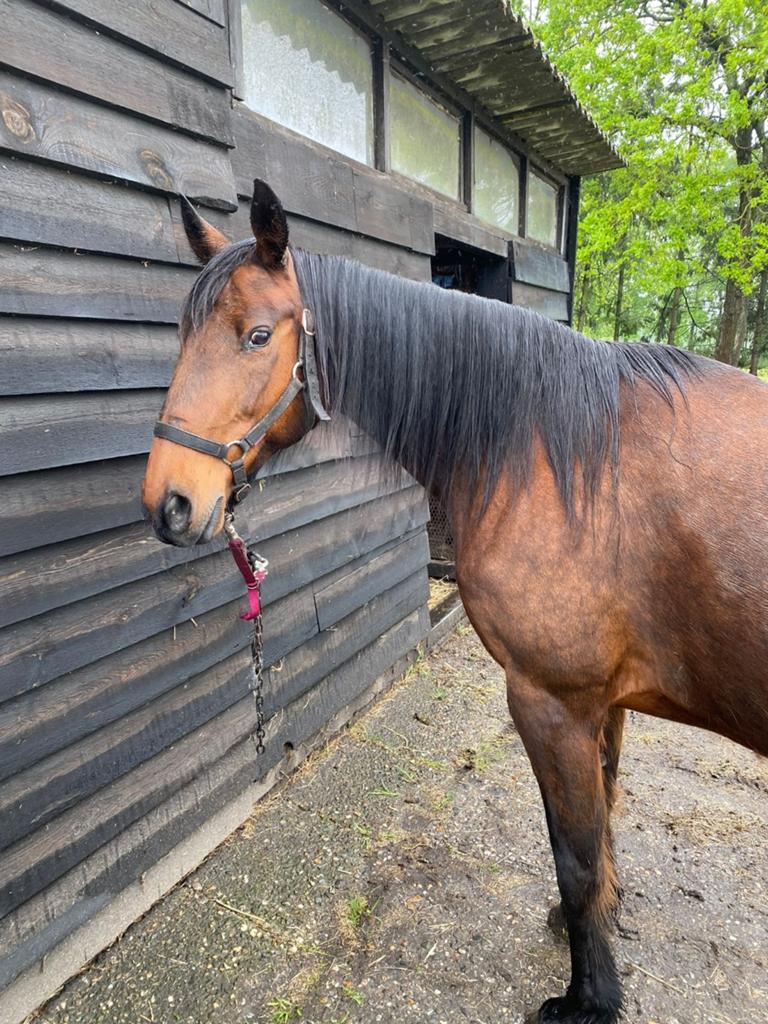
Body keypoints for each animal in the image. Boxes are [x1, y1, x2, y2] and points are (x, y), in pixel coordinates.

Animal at [142, 179, 768, 1024]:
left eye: (258, 336)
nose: (169, 504)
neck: (553, 455)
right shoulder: (606, 704)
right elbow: (602, 823)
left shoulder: (554, 702)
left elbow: (574, 856)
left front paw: (589, 997)